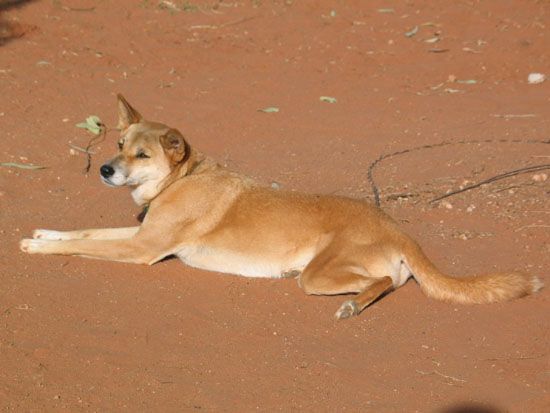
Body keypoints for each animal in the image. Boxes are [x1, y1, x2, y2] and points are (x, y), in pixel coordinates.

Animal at [19, 94, 544, 318]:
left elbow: (85, 247)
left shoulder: (142, 249)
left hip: (319, 275)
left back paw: (353, 306)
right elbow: (83, 234)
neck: (179, 179)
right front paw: (45, 232)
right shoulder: (141, 235)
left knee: (381, 284)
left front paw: (36, 248)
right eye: (118, 143)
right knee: (389, 282)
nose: (105, 170)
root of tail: (397, 228)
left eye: (141, 155)